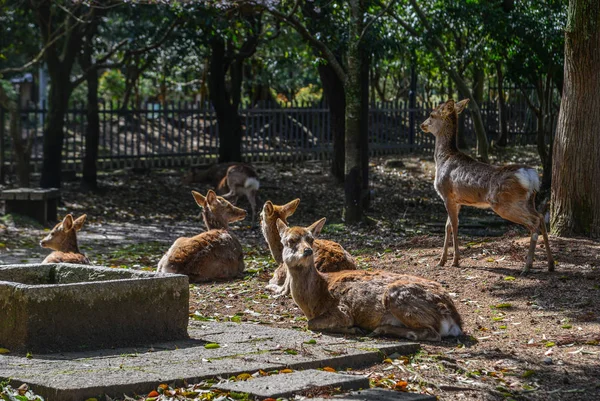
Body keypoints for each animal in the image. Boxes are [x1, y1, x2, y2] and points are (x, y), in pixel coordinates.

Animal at [276, 217, 464, 340]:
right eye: (290, 241)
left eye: (311, 239)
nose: (307, 251)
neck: (314, 301)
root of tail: (454, 320)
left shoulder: (342, 310)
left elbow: (312, 323)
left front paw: (354, 329)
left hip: (398, 296)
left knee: (433, 333)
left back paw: (381, 329)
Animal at [422, 98, 552, 274]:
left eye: (431, 114)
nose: (422, 125)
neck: (443, 159)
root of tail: (531, 176)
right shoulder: (457, 200)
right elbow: (447, 226)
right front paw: (441, 261)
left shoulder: (447, 194)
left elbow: (454, 225)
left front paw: (455, 261)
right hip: (527, 201)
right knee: (541, 217)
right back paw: (550, 264)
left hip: (504, 203)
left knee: (535, 221)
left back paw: (527, 267)